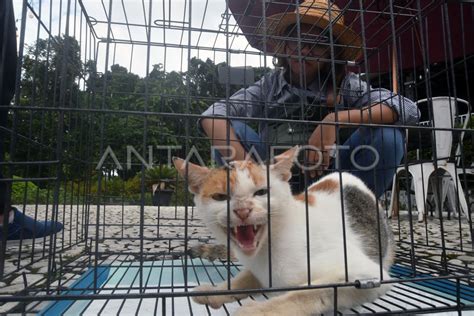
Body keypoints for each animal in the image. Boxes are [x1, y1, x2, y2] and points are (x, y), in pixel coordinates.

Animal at [172, 147, 394, 314]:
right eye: (220, 197)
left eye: (261, 192)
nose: (242, 210)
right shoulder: (259, 270)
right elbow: (243, 278)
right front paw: (216, 291)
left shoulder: (366, 275)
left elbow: (309, 292)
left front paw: (258, 310)